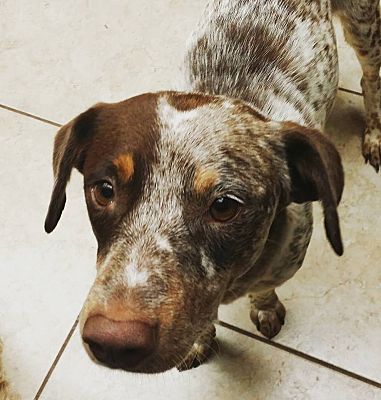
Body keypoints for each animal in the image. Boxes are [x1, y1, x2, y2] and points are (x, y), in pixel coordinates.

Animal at [43, 0, 378, 376]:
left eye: (224, 205)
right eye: (103, 190)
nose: (112, 341)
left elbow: (263, 291)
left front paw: (264, 308)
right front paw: (199, 341)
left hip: (364, 27)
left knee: (371, 79)